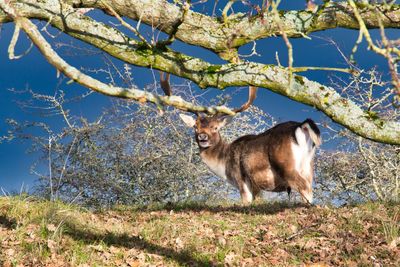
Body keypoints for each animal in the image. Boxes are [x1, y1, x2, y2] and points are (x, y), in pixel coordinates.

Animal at [181, 114, 322, 204]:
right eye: (195, 127)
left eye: (215, 127)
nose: (202, 136)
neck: (224, 166)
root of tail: (301, 126)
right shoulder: (256, 186)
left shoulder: (241, 178)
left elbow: (246, 201)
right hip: (308, 166)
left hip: (286, 166)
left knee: (305, 187)